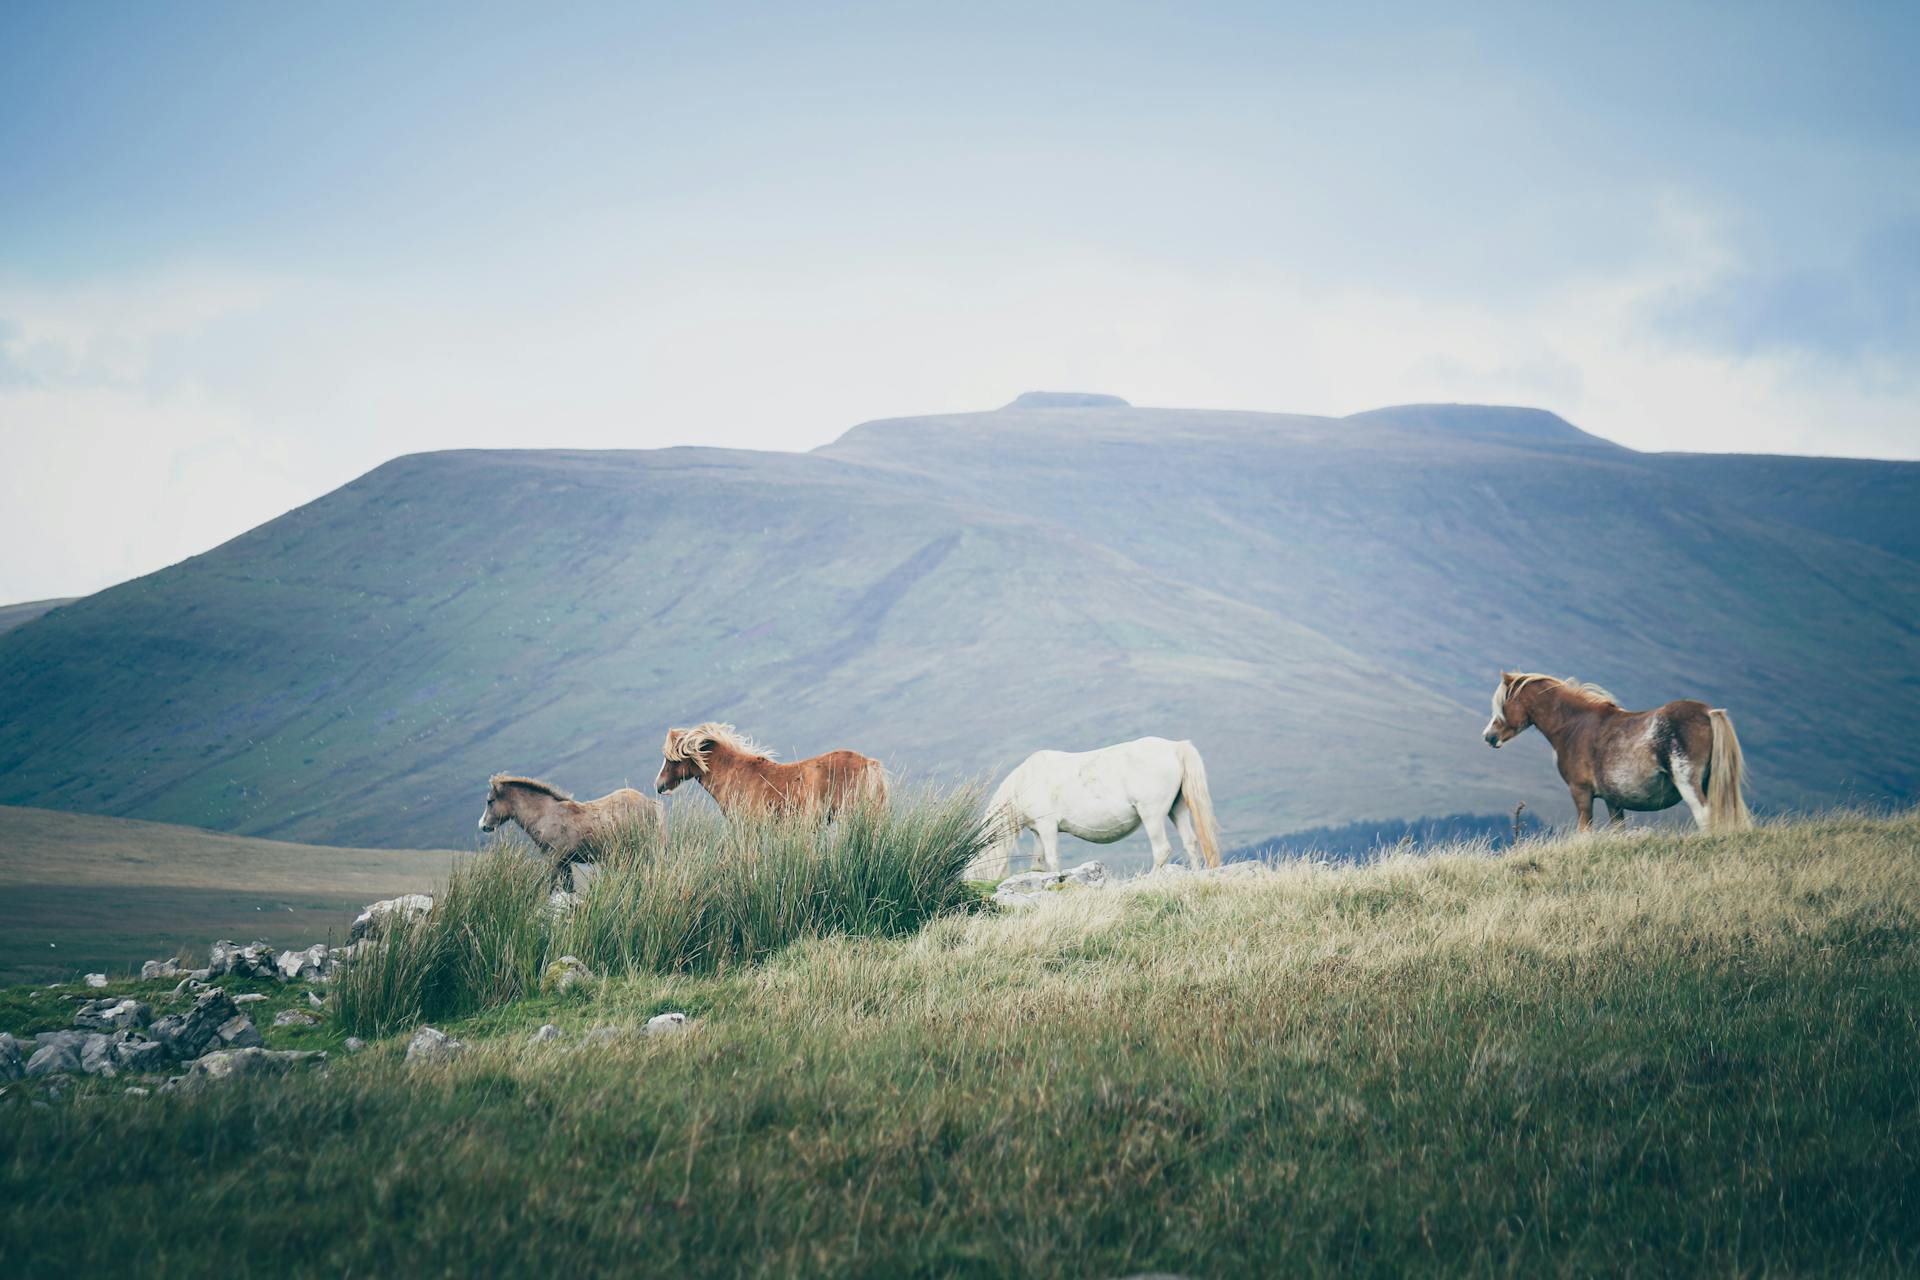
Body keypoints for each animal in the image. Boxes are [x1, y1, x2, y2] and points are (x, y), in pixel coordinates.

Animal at [476, 771, 664, 890]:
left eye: (490, 801)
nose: (483, 825)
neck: (546, 814)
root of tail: (649, 803)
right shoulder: (565, 862)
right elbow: (568, 889)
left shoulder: (554, 858)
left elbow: (546, 886)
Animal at [975, 740, 1228, 882]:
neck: (1025, 781)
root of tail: (1175, 746)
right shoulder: (1039, 831)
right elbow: (1038, 864)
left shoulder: (1047, 827)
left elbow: (1052, 860)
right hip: (1177, 809)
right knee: (1190, 842)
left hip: (1152, 814)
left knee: (1162, 849)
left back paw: (1150, 879)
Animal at [1482, 675, 1758, 836]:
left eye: (1503, 704)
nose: (1489, 736)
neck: (1575, 726)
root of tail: (1709, 712)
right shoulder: (1613, 800)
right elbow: (1618, 831)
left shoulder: (1581, 792)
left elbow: (1585, 832)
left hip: (1688, 782)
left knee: (1704, 815)